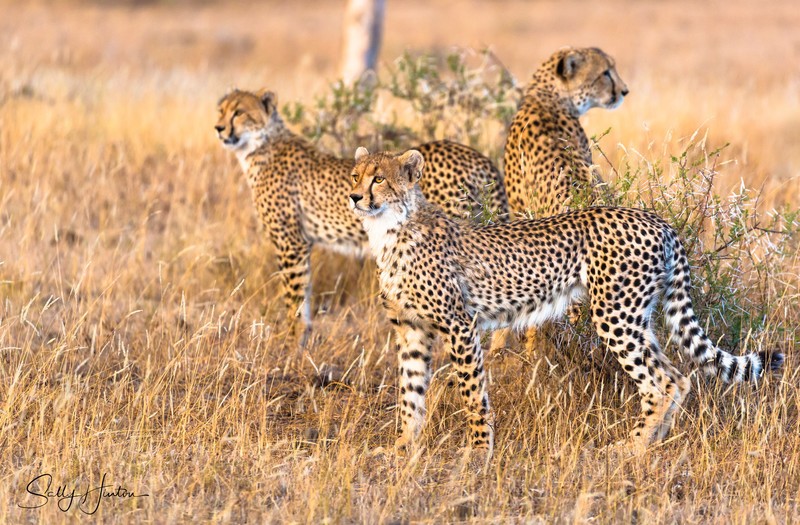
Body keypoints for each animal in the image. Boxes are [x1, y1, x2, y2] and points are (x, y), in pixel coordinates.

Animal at [215, 88, 508, 347]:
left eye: (239, 112)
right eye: (221, 110)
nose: (218, 128)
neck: (261, 146)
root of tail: (477, 156)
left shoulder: (291, 243)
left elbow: (295, 298)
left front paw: (292, 345)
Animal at [348, 147, 783, 455]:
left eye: (379, 179)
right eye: (355, 176)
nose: (354, 197)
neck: (390, 228)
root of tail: (656, 219)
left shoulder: (460, 325)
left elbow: (472, 394)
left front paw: (478, 454)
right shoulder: (411, 329)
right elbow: (410, 392)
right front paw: (402, 448)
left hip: (615, 314)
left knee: (660, 382)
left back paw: (629, 448)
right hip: (636, 315)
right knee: (678, 377)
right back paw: (653, 442)